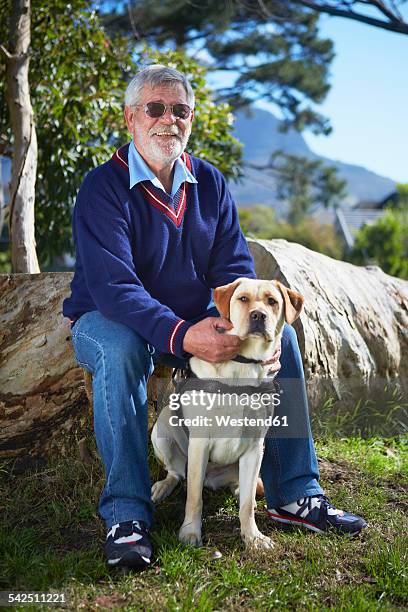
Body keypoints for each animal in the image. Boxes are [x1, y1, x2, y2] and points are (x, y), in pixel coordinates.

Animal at [151, 278, 302, 548]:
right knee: (176, 473)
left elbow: (247, 505)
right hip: (161, 431)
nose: (258, 315)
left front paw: (252, 537)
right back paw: (162, 486)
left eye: (272, 301)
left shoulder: (254, 447)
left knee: (245, 490)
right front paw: (190, 532)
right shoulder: (199, 444)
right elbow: (194, 498)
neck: (243, 365)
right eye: (243, 299)